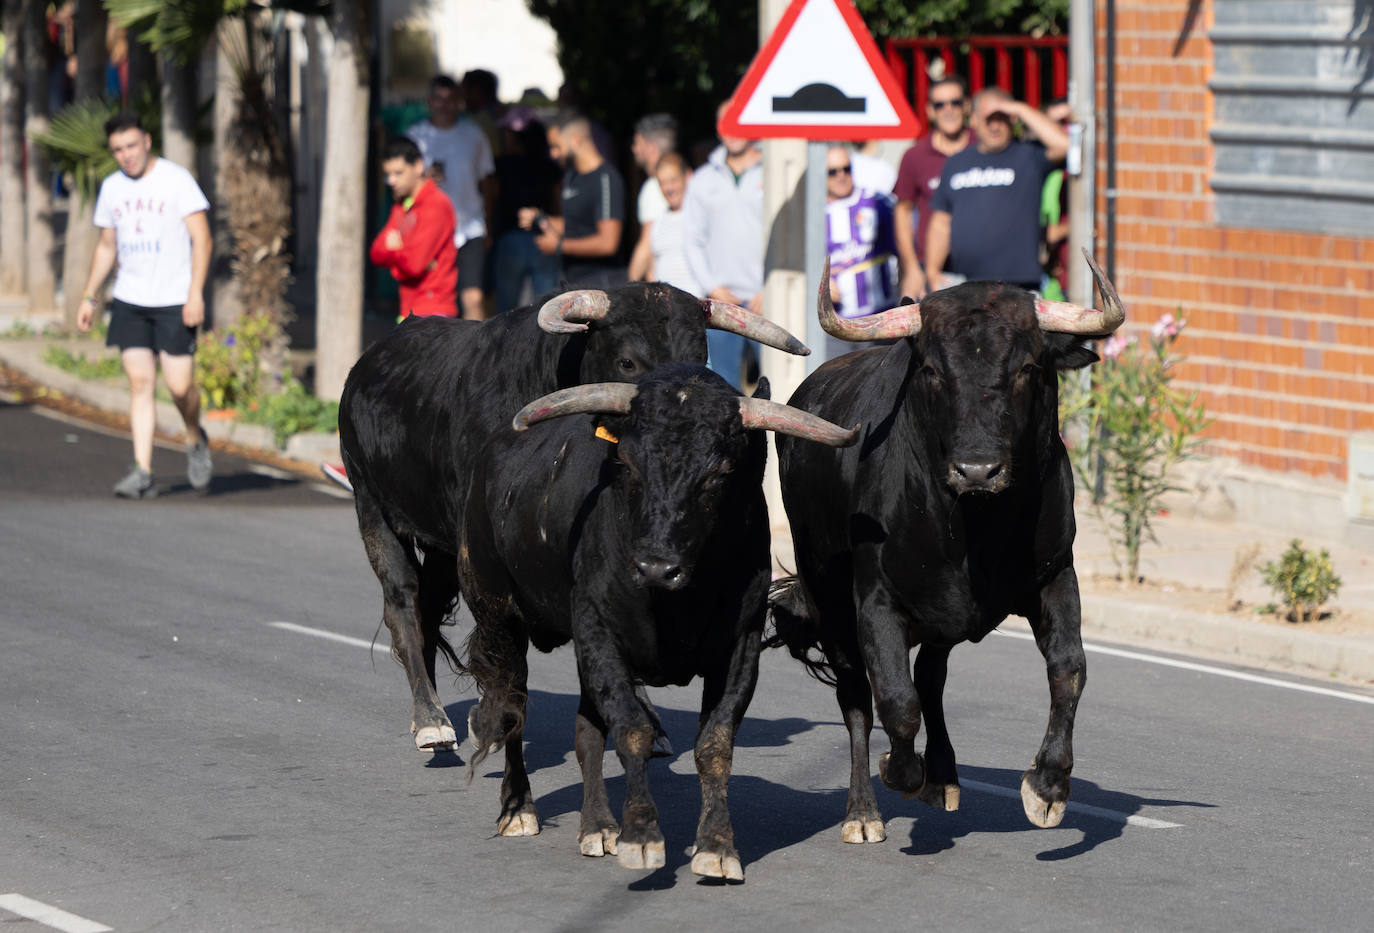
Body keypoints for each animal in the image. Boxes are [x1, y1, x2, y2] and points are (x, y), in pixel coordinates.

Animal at [456, 365, 851, 884]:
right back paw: (519, 809)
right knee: (511, 709)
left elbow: (714, 743)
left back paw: (598, 826)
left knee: (586, 732)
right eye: (627, 462)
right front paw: (641, 837)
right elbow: (632, 731)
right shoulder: (600, 634)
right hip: (497, 614)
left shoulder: (739, 649)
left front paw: (717, 846)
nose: (656, 568)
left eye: (719, 473)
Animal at [774, 251, 1126, 840]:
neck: (977, 529)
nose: (977, 469)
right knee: (857, 697)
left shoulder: (1057, 576)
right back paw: (864, 811)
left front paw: (1048, 788)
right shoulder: (876, 602)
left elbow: (1068, 669)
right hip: (828, 595)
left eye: (1027, 368)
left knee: (931, 678)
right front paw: (898, 769)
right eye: (934, 372)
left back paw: (942, 777)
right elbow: (895, 701)